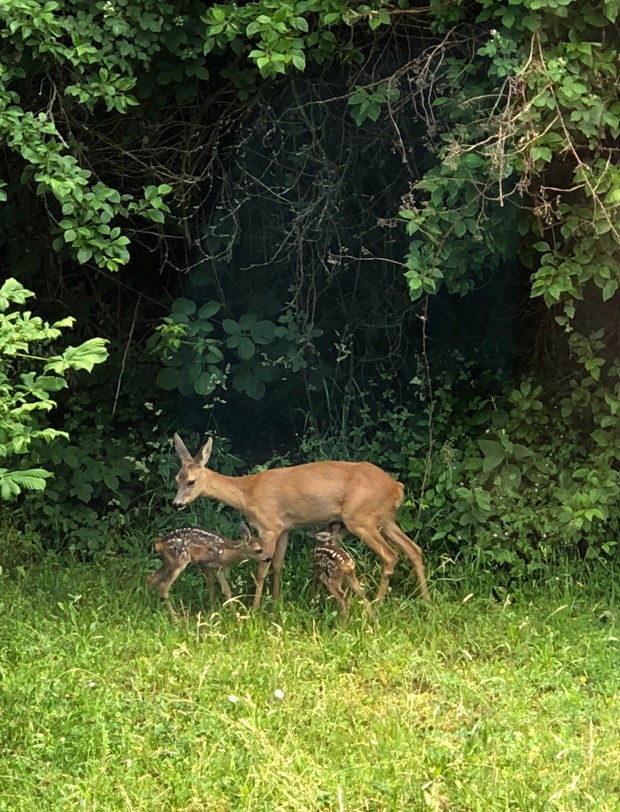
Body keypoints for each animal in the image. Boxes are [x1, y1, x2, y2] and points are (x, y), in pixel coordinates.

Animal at [172, 434, 428, 612]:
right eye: (177, 478)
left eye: (191, 481)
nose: (176, 504)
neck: (247, 493)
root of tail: (397, 487)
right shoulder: (285, 527)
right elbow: (278, 564)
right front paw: (276, 602)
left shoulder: (269, 526)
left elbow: (262, 569)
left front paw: (254, 610)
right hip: (385, 519)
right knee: (414, 549)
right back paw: (426, 599)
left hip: (361, 518)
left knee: (391, 555)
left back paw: (379, 602)